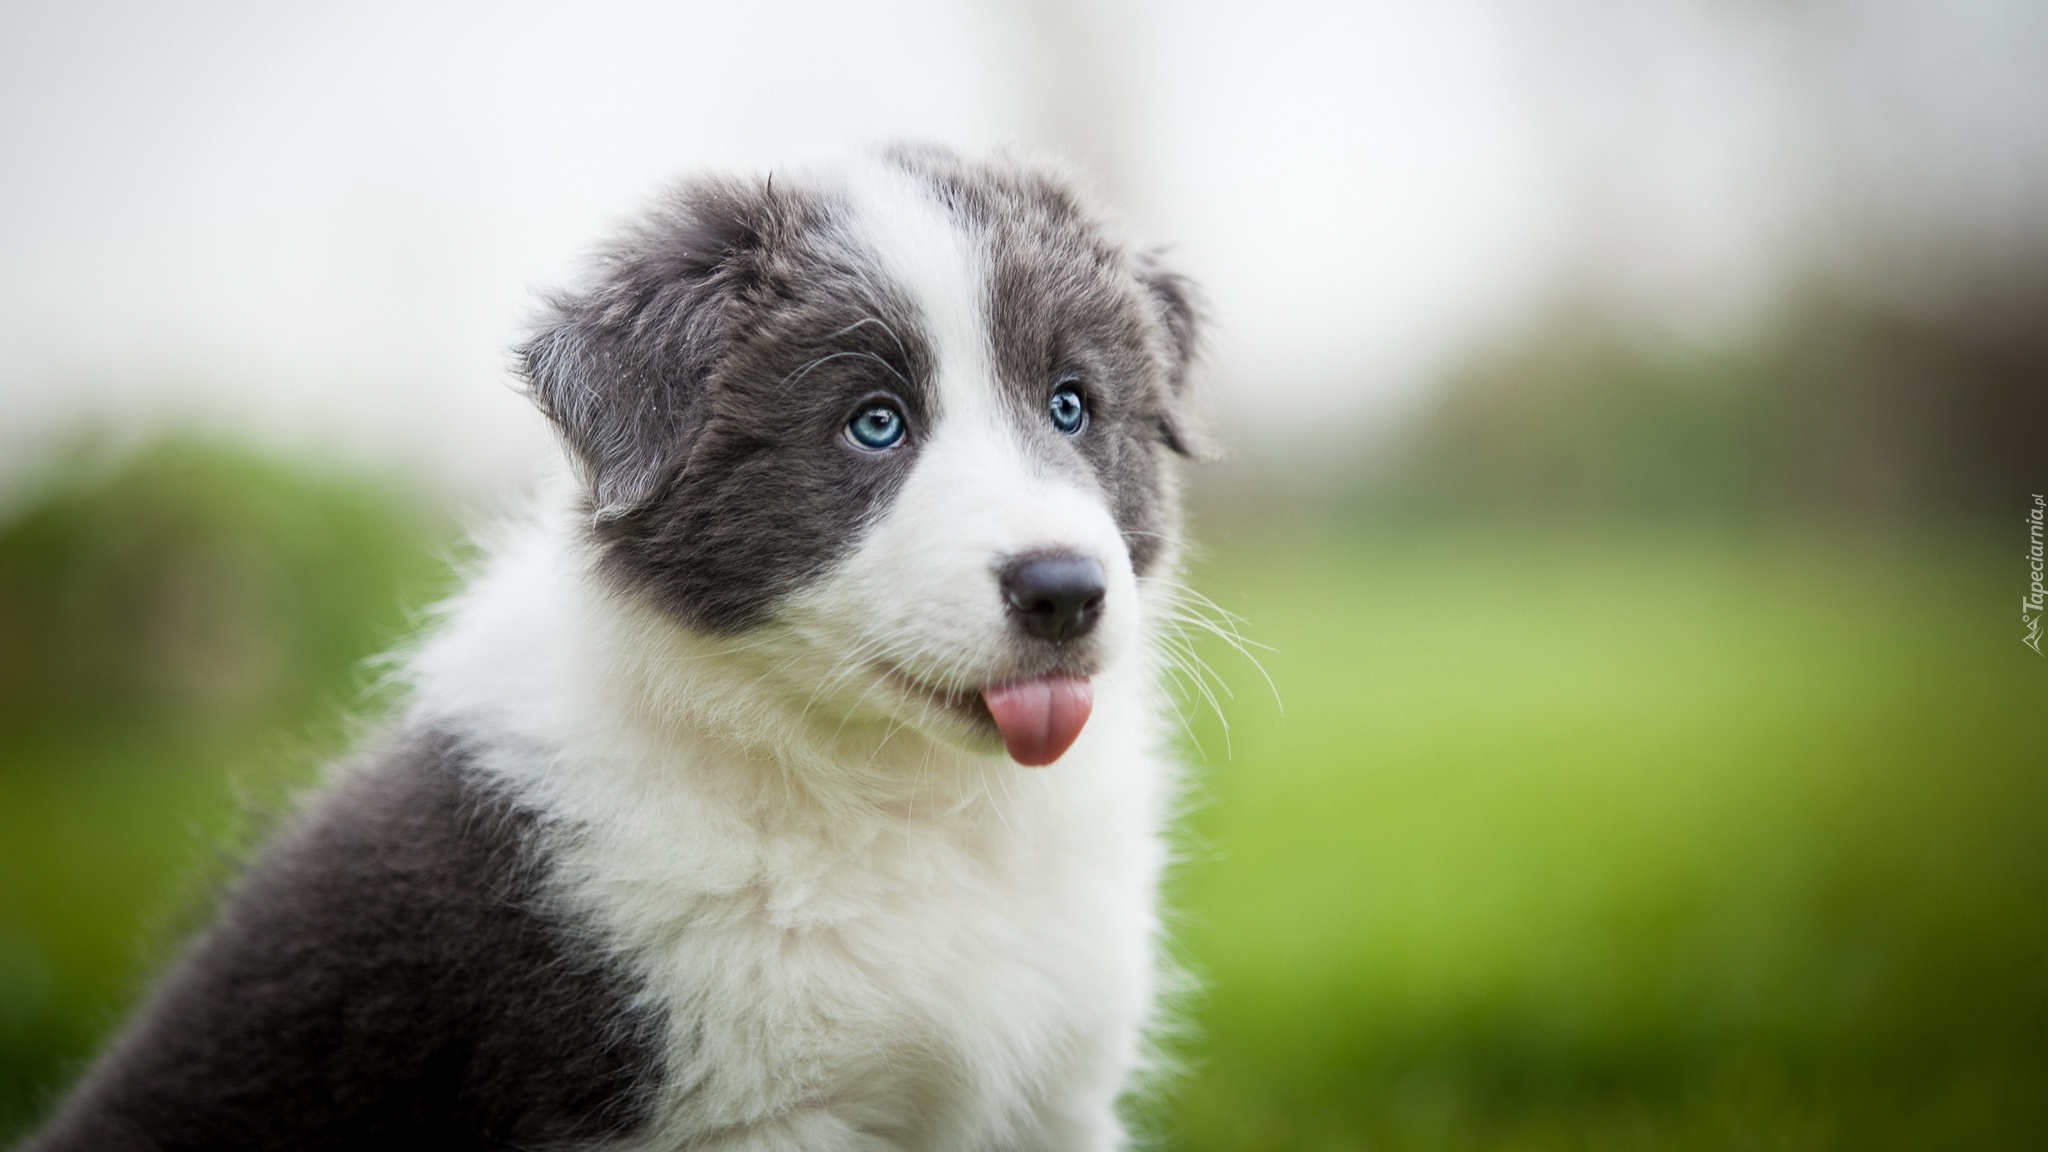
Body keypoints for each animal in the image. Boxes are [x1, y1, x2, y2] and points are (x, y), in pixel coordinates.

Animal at [24, 145, 1204, 1147]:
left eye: (1070, 406)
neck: (909, 806)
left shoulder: (1059, 1093)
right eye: (873, 424)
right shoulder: (746, 1113)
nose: (1064, 591)